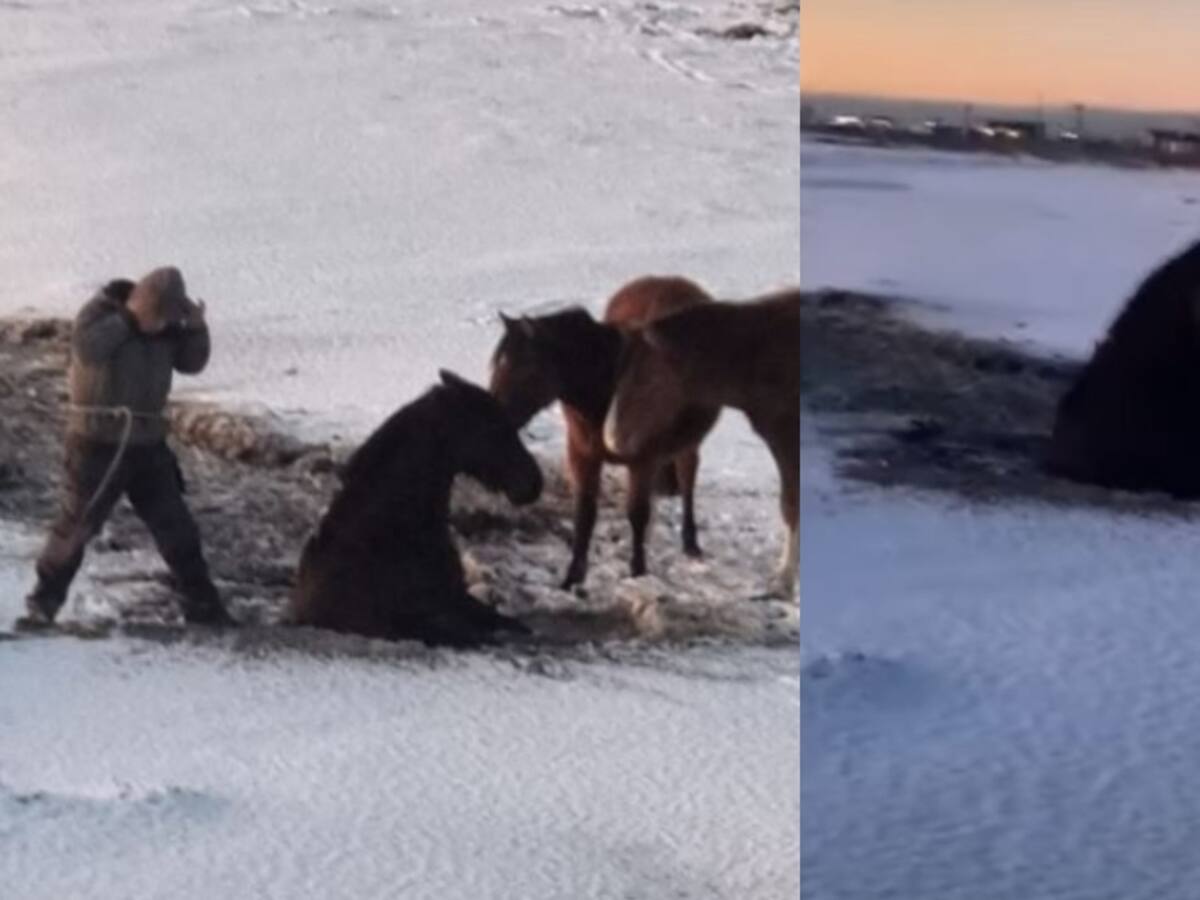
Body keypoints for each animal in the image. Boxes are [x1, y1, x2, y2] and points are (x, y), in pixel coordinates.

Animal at [489, 275, 720, 588]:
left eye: (524, 369)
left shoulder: (643, 460)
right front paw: (573, 577)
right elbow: (585, 514)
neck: (610, 388)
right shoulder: (583, 454)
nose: (492, 417)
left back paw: (690, 542)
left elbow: (637, 514)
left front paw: (638, 572)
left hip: (688, 441)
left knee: (687, 478)